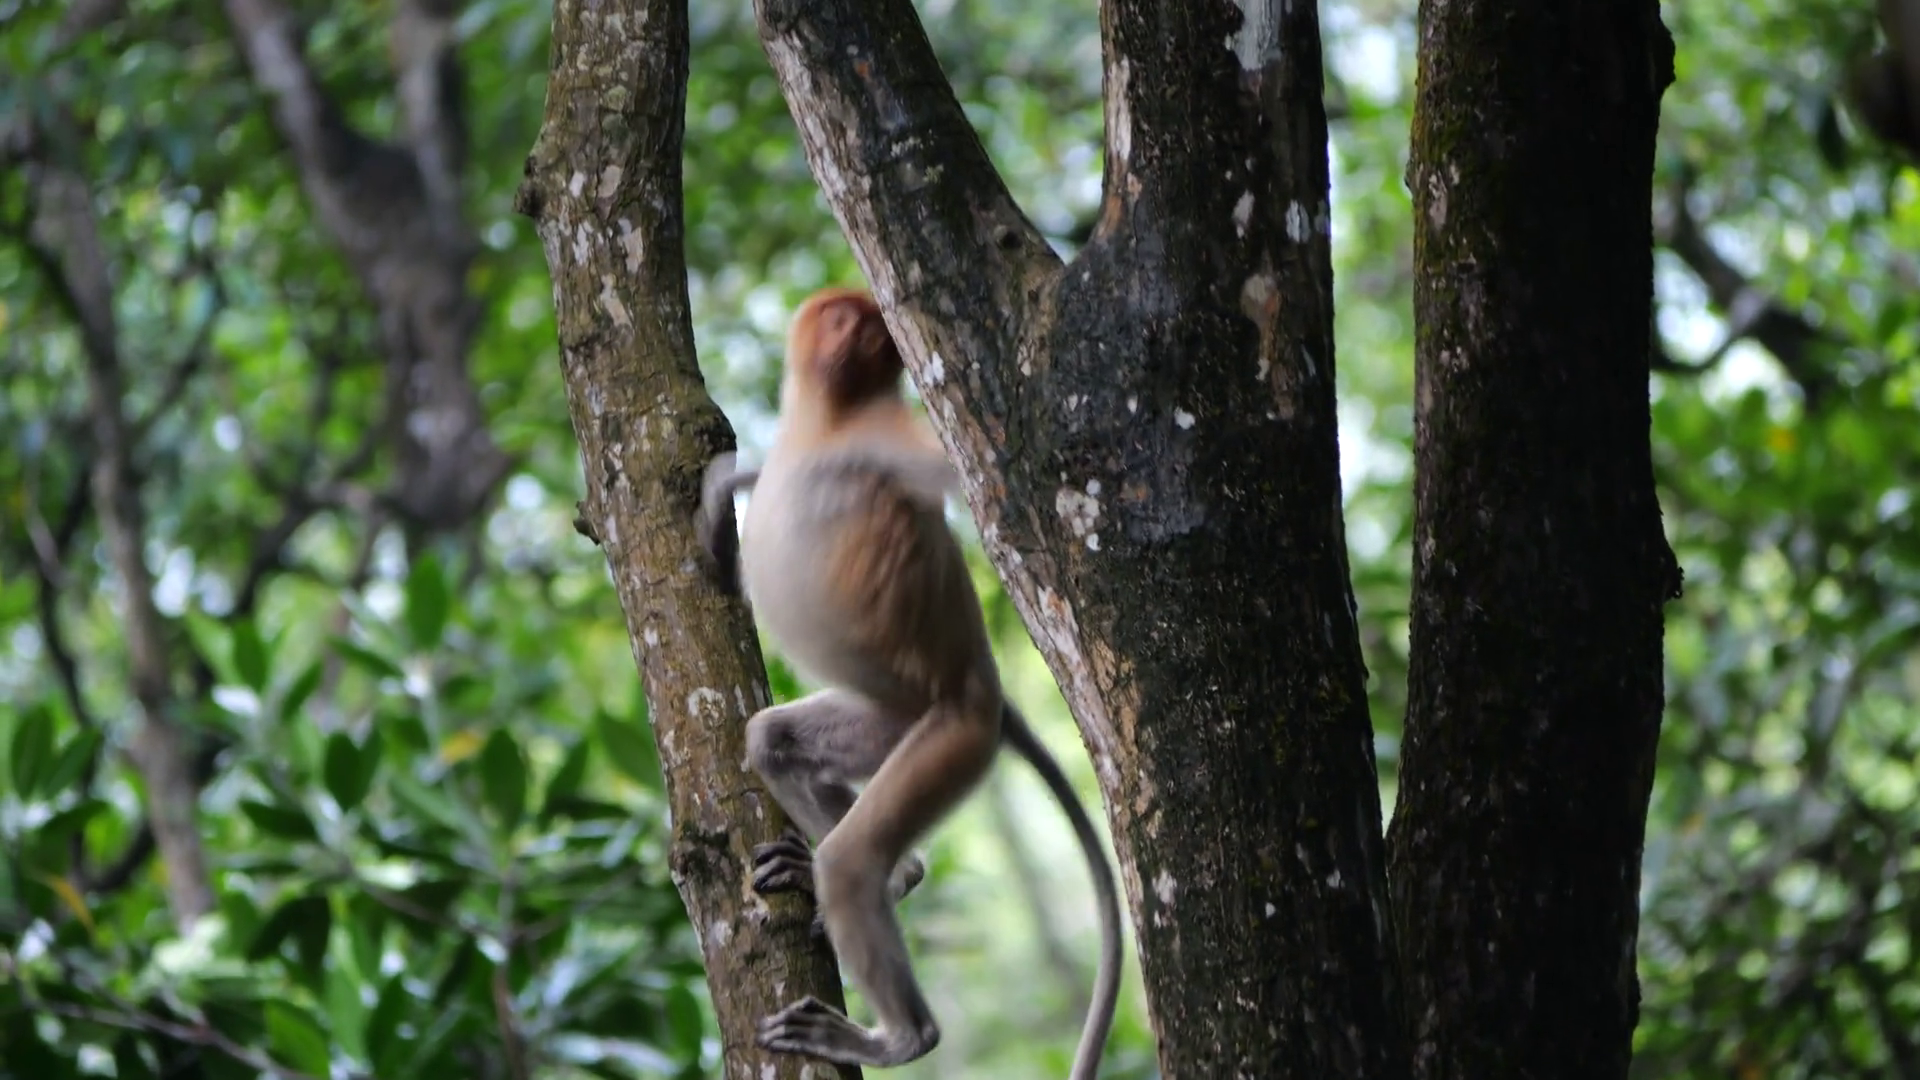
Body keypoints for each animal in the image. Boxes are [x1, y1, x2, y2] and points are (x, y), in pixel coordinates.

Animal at [694, 287, 1122, 1079]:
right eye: (846, 318)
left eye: (867, 324)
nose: (861, 333)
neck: (826, 420)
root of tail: (985, 689)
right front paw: (721, 496)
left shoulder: (889, 440)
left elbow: (989, 483)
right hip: (890, 719)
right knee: (774, 740)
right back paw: (893, 873)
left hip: (953, 739)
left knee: (852, 862)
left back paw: (898, 1034)